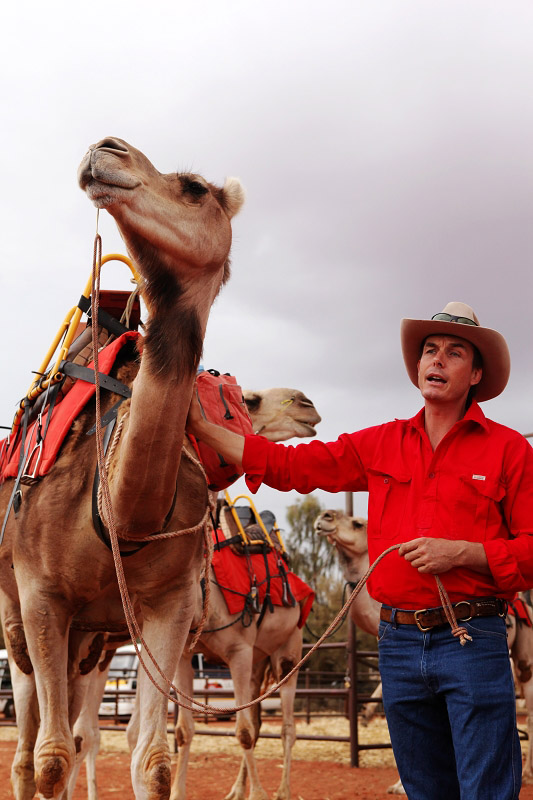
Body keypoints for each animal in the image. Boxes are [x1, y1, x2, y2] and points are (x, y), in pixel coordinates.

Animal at [0, 138, 245, 800]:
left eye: (194, 187)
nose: (106, 150)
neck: (124, 519)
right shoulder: (41, 597)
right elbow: (51, 758)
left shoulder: (170, 607)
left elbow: (151, 760)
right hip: (16, 621)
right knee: (28, 752)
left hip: (92, 640)